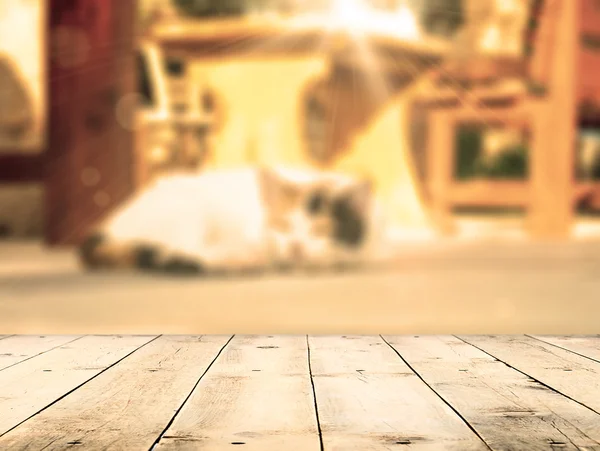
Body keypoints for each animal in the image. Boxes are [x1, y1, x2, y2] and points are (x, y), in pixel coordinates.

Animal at [78, 166, 384, 276]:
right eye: (283, 225)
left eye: (320, 231)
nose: (296, 246)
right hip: (189, 212)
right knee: (183, 251)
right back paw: (238, 260)